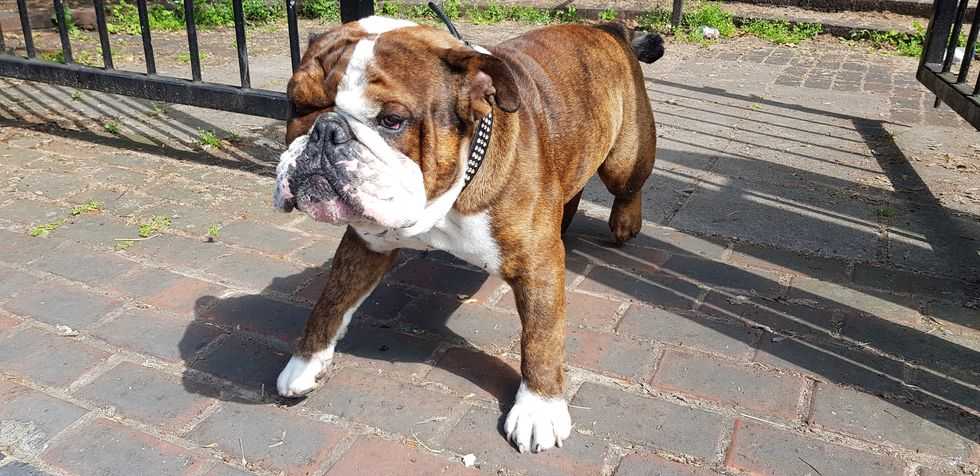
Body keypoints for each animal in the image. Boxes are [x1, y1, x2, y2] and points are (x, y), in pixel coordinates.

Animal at [273, 15, 662, 453]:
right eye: (298, 105)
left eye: (392, 120)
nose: (325, 132)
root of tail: (608, 26)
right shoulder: (365, 244)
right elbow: (331, 301)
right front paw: (305, 362)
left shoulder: (537, 265)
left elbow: (541, 337)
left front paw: (539, 408)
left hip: (624, 160)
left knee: (628, 185)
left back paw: (625, 222)